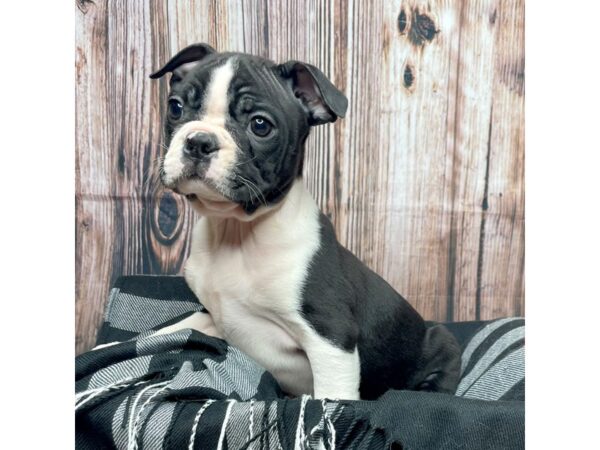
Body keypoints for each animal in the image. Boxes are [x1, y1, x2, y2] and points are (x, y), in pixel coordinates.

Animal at [150, 43, 460, 400]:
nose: (199, 141)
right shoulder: (210, 314)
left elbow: (332, 398)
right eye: (175, 107)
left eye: (260, 125)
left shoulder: (331, 336)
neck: (237, 230)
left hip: (442, 343)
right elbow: (167, 332)